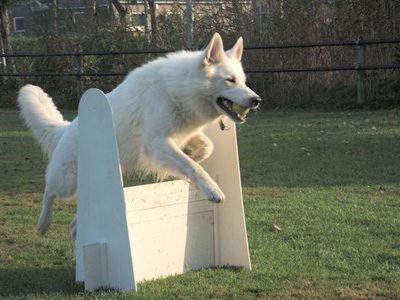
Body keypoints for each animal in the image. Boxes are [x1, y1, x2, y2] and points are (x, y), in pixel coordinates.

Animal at [16, 33, 262, 239]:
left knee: (74, 225)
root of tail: (65, 128)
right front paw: (212, 189)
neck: (180, 89)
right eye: (230, 80)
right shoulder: (156, 143)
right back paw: (43, 223)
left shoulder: (182, 135)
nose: (256, 100)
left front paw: (184, 164)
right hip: (67, 182)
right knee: (49, 190)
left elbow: (203, 150)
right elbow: (193, 166)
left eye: (243, 81)